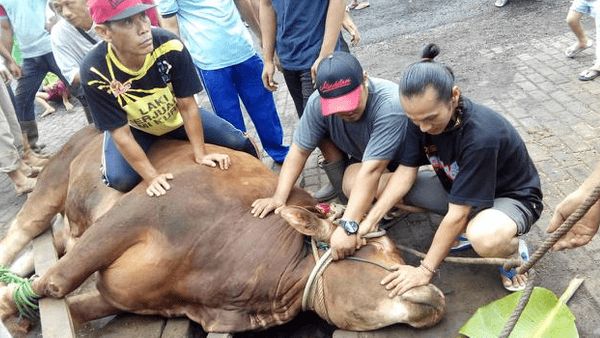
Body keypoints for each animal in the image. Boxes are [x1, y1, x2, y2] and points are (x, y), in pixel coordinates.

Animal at [0, 126, 446, 332]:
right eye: (377, 249)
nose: (436, 295)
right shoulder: (137, 214)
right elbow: (56, 282)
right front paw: (10, 309)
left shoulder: (125, 296)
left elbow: (69, 306)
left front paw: (18, 314)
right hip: (54, 181)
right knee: (21, 232)